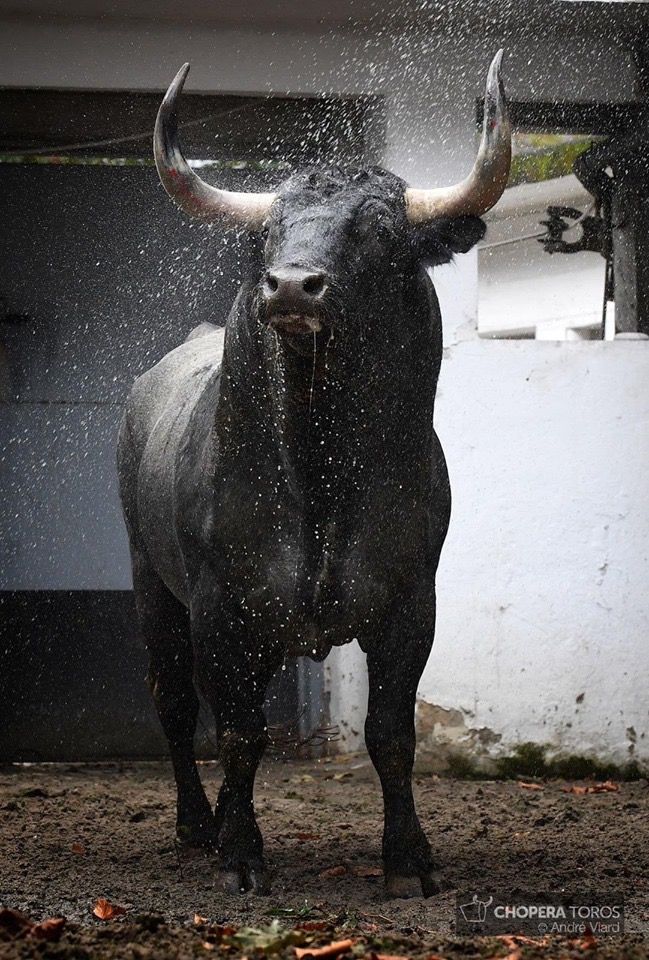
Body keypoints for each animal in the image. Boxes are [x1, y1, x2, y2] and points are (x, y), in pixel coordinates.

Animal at [117, 52, 512, 896]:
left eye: (383, 232)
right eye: (270, 231)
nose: (292, 285)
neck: (319, 480)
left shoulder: (409, 606)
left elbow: (390, 735)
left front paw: (408, 861)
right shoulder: (221, 610)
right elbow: (237, 733)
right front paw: (240, 856)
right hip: (150, 584)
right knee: (175, 704)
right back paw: (198, 827)